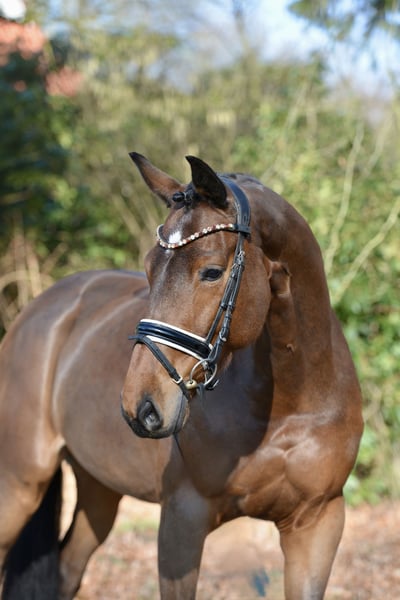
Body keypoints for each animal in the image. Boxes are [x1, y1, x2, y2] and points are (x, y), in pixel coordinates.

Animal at [0, 153, 363, 599]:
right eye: (148, 267)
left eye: (211, 271)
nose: (141, 406)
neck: (290, 405)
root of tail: (40, 308)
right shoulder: (183, 518)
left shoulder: (317, 523)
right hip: (17, 485)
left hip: (97, 489)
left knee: (69, 569)